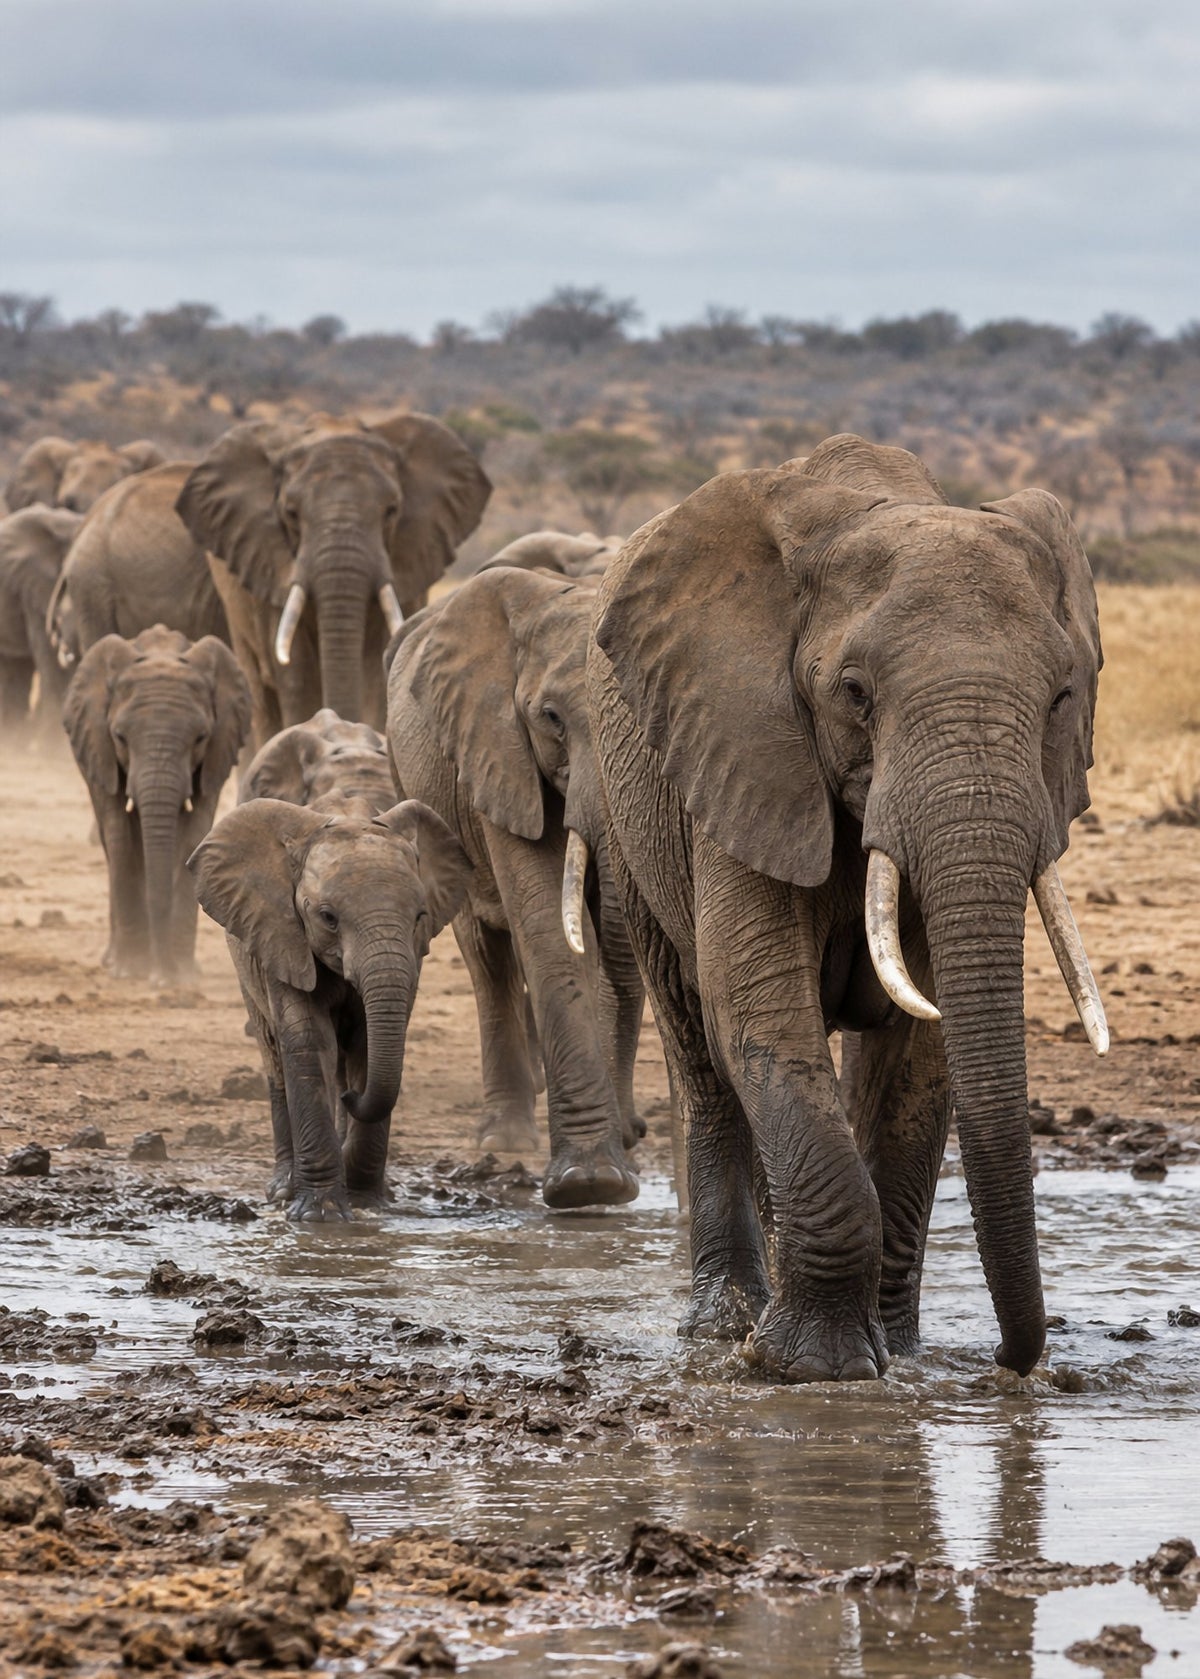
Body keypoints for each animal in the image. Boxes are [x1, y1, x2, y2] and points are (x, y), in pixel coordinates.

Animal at [64, 625, 251, 985]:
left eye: (200, 738)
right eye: (120, 737)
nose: (162, 978)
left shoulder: (216, 756)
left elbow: (194, 833)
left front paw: (183, 976)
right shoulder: (101, 750)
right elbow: (120, 835)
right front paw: (132, 971)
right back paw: (114, 960)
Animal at [189, 795, 472, 1219]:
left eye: (420, 917)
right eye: (328, 918)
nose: (351, 1099)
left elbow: (369, 1048)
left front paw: (367, 1203)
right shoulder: (282, 935)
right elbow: (309, 1042)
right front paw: (319, 1215)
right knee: (274, 1055)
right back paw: (283, 1189)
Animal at [386, 565, 645, 1211]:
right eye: (551, 717)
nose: (635, 1131)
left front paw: (613, 1166)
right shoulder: (498, 752)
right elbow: (549, 924)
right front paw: (590, 1186)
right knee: (488, 954)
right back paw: (504, 1142)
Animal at [587, 433, 1105, 1382]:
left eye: (1061, 698)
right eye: (855, 693)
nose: (1013, 1360)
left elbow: (921, 1050)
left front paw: (894, 1352)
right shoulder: (744, 744)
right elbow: (759, 1006)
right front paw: (810, 1367)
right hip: (627, 805)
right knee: (699, 1042)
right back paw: (723, 1324)